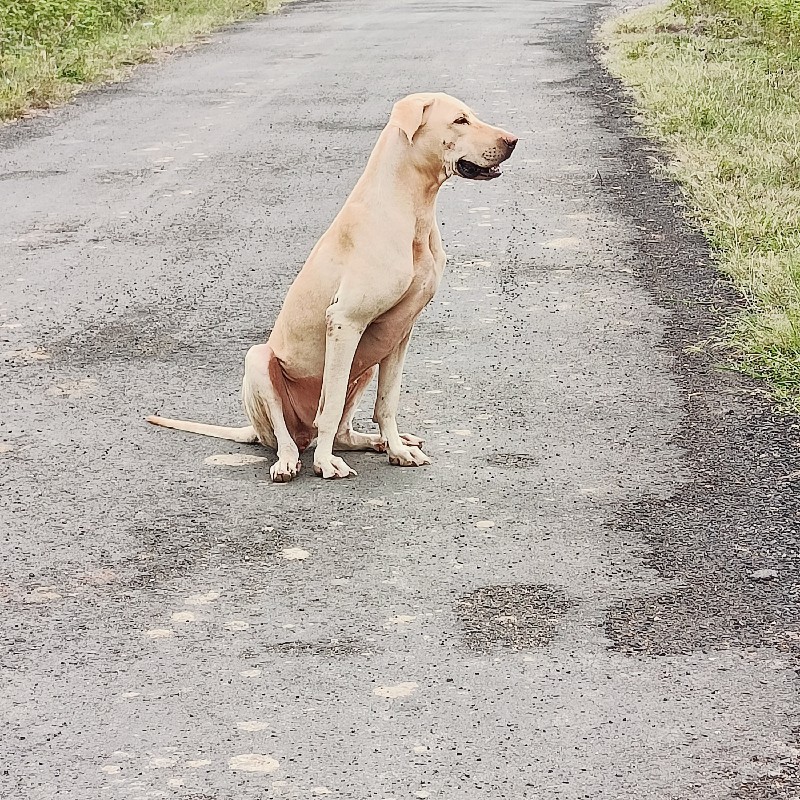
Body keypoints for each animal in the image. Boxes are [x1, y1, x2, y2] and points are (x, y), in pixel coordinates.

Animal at [149, 94, 520, 482]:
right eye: (460, 120)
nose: (513, 141)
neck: (410, 208)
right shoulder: (345, 322)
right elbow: (329, 409)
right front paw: (325, 463)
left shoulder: (400, 333)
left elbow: (387, 403)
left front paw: (398, 449)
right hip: (260, 361)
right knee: (287, 436)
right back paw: (289, 461)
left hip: (367, 364)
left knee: (344, 432)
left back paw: (378, 442)